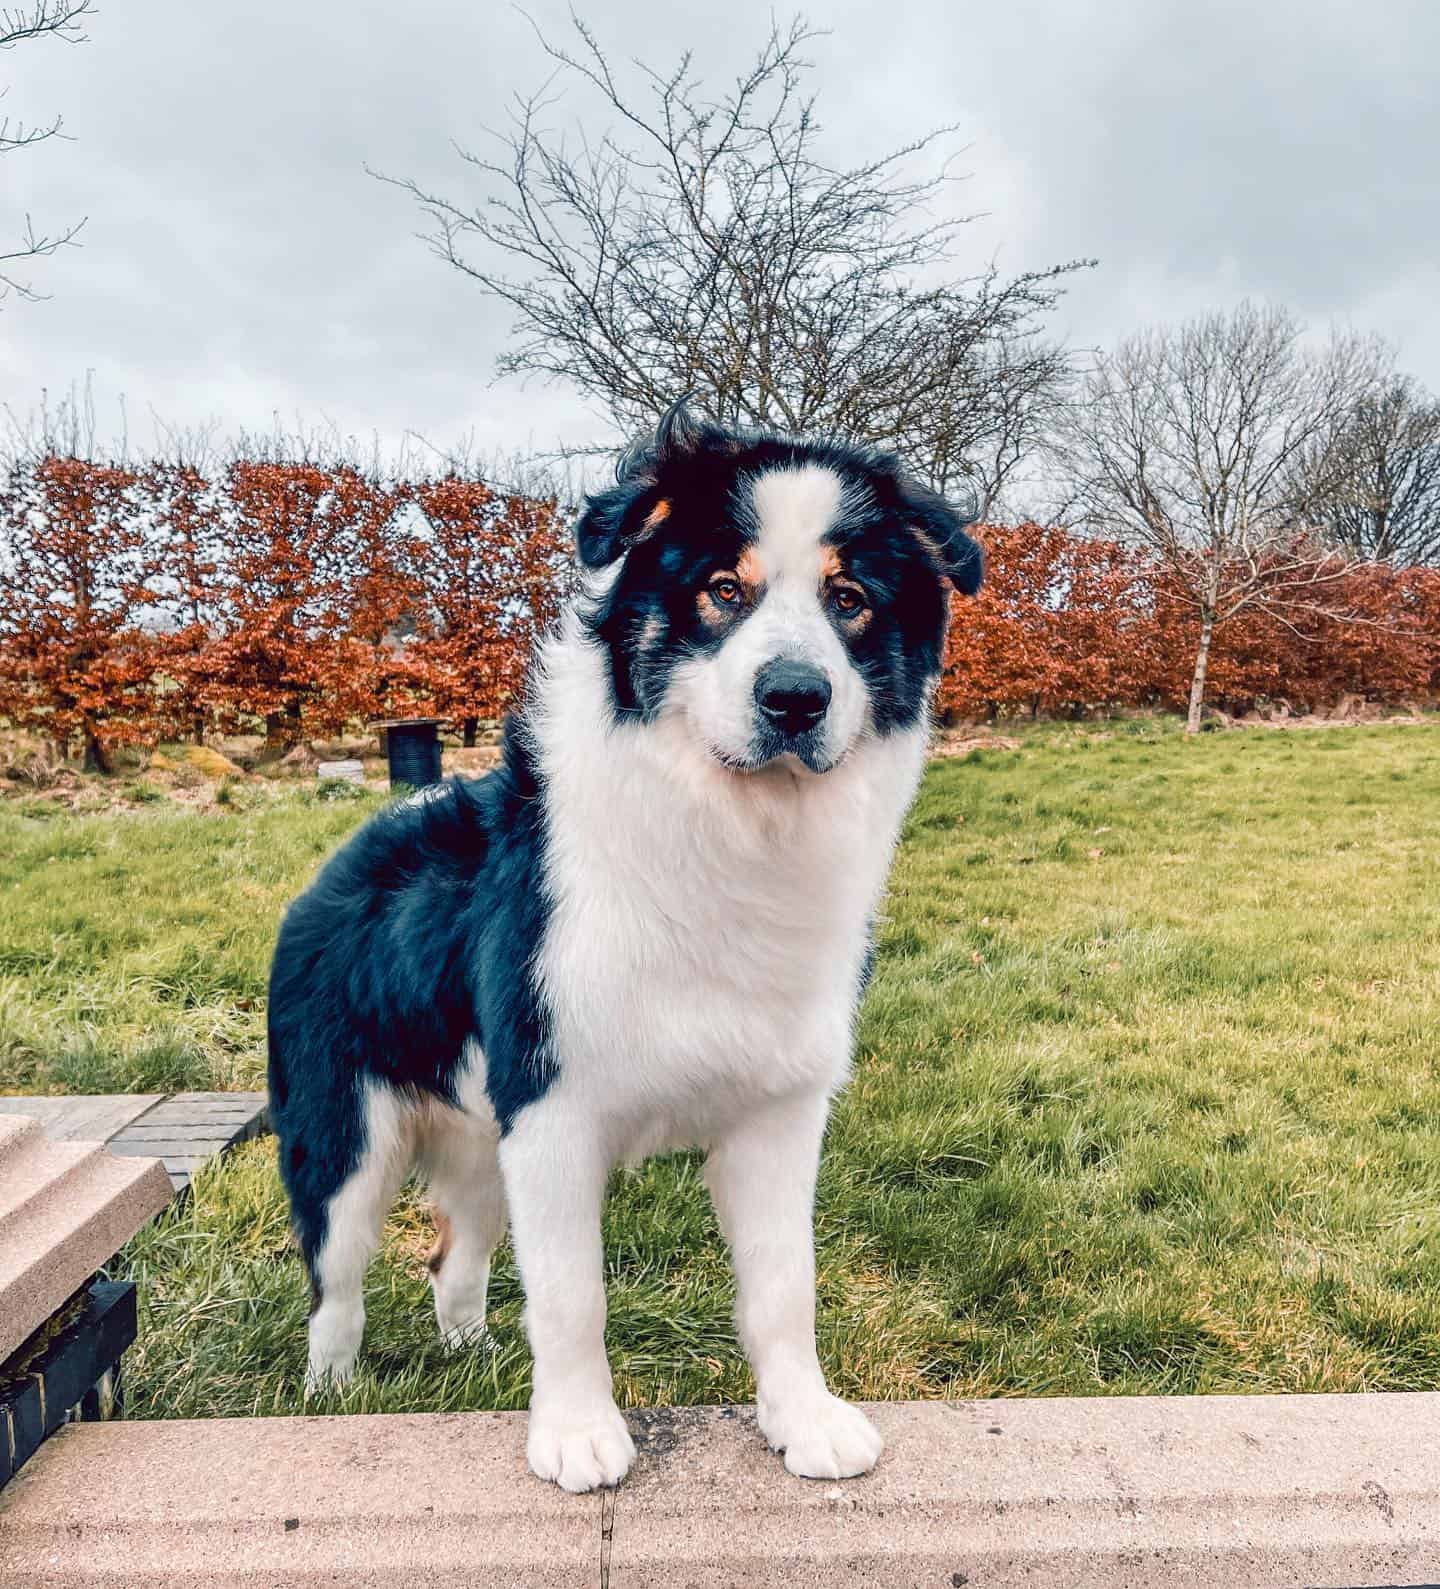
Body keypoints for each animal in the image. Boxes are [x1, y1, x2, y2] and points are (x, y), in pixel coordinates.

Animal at [263, 403, 979, 1493]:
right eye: (722, 588)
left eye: (849, 598)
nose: (795, 697)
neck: (731, 828)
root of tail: (347, 855)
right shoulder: (554, 1106)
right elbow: (572, 1293)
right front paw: (576, 1432)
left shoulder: (777, 1110)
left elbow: (787, 1284)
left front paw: (805, 1418)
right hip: (343, 1135)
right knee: (335, 1279)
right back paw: (332, 1392)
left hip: (480, 1137)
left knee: (454, 1254)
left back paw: (472, 1352)